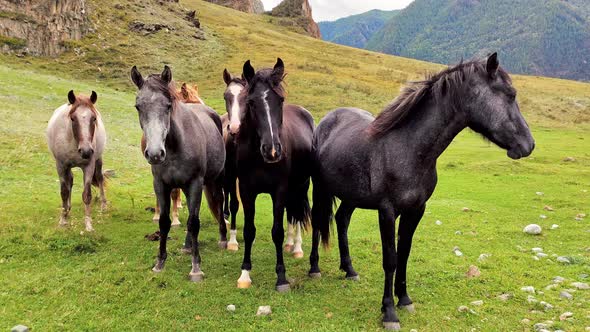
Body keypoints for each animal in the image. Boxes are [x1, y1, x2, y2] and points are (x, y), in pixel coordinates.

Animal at [47, 89, 107, 232]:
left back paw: (103, 205)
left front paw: (88, 225)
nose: (86, 151)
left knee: (100, 178)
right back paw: (67, 209)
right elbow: (64, 191)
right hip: (68, 167)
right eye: (73, 118)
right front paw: (62, 220)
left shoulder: (89, 166)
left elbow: (87, 195)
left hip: (98, 160)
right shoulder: (61, 165)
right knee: (70, 180)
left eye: (94, 118)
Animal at [312, 53, 540, 328]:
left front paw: (404, 299)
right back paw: (314, 269)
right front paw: (389, 312)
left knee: (342, 220)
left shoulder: (416, 210)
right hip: (320, 188)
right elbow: (390, 259)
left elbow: (404, 254)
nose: (529, 144)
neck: (408, 148)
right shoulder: (387, 212)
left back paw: (349, 270)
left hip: (351, 196)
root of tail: (327, 120)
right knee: (317, 223)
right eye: (510, 94)